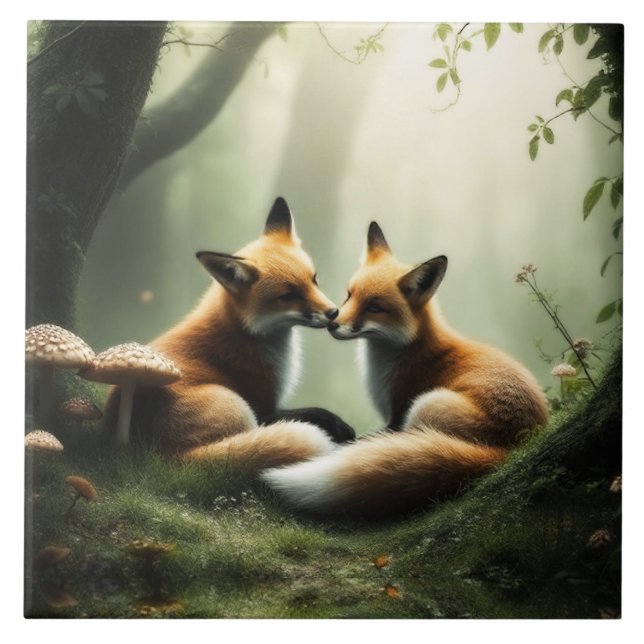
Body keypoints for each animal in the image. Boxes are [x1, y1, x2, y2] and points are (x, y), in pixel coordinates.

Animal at [103, 197, 355, 468]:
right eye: (288, 296)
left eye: (314, 279)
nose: (333, 313)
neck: (245, 331)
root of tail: (166, 458)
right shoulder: (263, 406)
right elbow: (314, 412)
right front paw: (339, 426)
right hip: (238, 406)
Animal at [261, 221, 549, 516]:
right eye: (350, 295)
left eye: (374, 307)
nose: (332, 323)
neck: (404, 352)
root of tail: (510, 451)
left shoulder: (397, 414)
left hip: (426, 405)